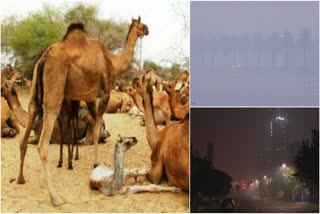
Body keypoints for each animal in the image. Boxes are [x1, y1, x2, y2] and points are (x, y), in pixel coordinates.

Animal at [16, 17, 149, 206]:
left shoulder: (89, 97)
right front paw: (97, 162)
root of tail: (44, 58)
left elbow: (95, 127)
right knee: (43, 143)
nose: (147, 29)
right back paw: (56, 197)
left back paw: (20, 179)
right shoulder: (104, 93)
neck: (113, 61)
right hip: (54, 85)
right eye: (140, 24)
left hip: (35, 84)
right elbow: (96, 129)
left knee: (27, 124)